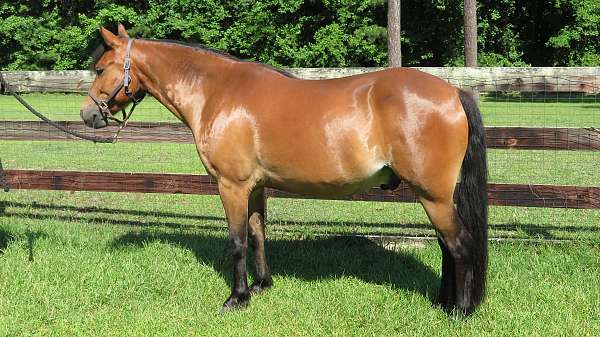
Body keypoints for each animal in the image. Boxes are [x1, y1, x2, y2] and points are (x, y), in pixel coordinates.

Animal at [81, 25, 488, 316]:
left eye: (100, 69)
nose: (87, 115)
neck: (218, 93)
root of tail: (452, 93)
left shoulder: (231, 186)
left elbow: (237, 241)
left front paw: (237, 298)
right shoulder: (256, 187)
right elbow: (258, 234)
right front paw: (261, 286)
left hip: (433, 196)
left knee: (460, 245)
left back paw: (460, 311)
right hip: (434, 197)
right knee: (447, 247)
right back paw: (442, 302)